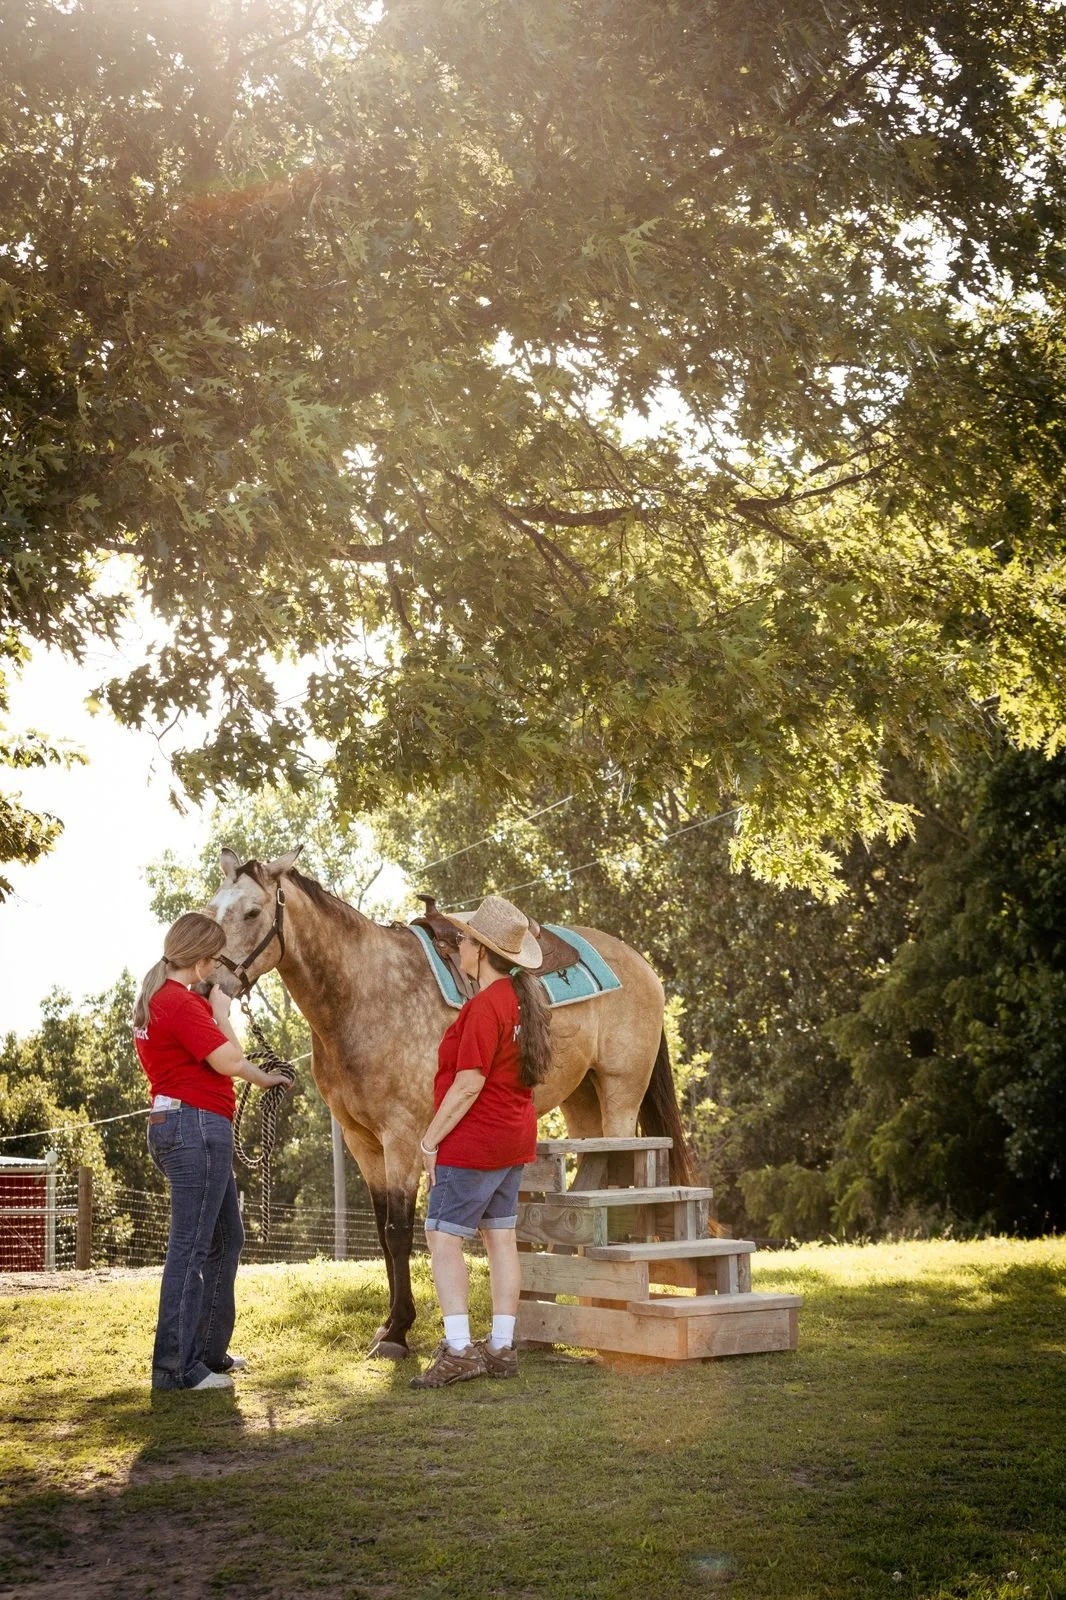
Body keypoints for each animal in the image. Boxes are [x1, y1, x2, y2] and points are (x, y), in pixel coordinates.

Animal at [206, 848, 694, 1358]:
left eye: (252, 912)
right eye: (211, 911)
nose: (209, 985)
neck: (366, 992)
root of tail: (643, 966)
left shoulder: (403, 1137)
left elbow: (400, 1231)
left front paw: (397, 1332)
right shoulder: (364, 1143)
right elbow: (381, 1232)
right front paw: (388, 1324)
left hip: (620, 1089)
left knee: (617, 1169)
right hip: (581, 1097)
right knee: (592, 1173)